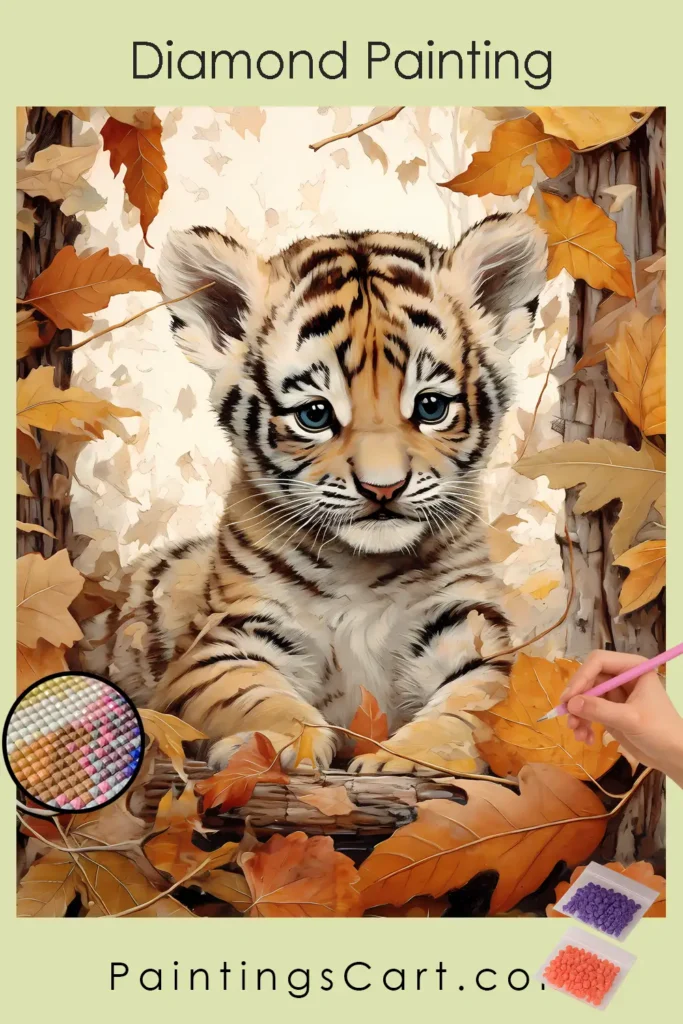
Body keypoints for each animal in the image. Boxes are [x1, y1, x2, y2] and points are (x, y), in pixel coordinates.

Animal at [82, 212, 547, 775]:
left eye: (431, 406)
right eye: (315, 414)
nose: (383, 488)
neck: (362, 570)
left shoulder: (468, 627)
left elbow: (476, 702)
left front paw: (413, 759)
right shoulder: (223, 640)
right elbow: (248, 692)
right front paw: (279, 744)